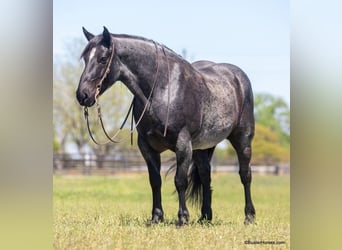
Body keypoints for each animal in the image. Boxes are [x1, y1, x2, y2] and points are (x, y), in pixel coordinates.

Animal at [76, 26, 255, 226]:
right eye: (85, 58)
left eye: (102, 59)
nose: (82, 95)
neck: (164, 88)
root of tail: (238, 77)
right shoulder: (147, 146)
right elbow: (155, 181)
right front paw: (156, 217)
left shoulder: (183, 144)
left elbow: (180, 181)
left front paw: (182, 218)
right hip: (201, 148)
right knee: (205, 175)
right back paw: (205, 217)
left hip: (243, 140)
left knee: (245, 174)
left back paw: (249, 216)